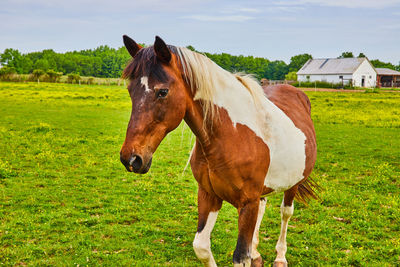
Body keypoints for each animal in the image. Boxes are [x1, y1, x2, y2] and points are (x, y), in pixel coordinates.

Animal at [119, 35, 318, 267]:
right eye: (130, 91)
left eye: (163, 92)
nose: (131, 158)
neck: (231, 134)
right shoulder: (208, 194)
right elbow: (202, 247)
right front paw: (252, 254)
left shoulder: (247, 203)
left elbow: (241, 256)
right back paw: (258, 254)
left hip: (292, 183)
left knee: (286, 213)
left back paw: (280, 257)